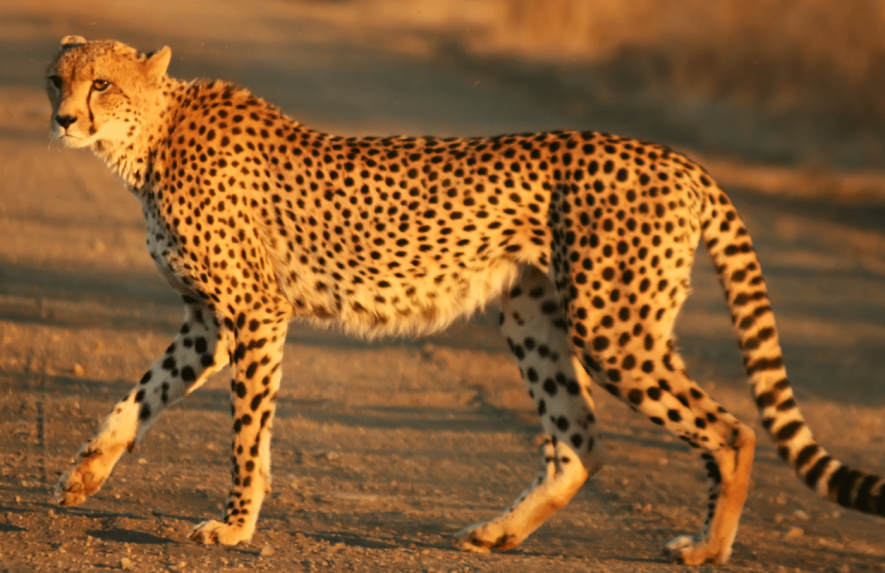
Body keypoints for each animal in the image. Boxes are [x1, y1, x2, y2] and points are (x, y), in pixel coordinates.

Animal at [45, 36, 885, 565]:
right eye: (59, 78)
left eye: (102, 84)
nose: (61, 119)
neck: (149, 137)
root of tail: (674, 156)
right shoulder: (207, 322)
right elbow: (140, 395)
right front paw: (84, 474)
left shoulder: (254, 312)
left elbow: (247, 432)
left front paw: (233, 526)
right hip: (534, 315)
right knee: (578, 441)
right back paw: (500, 533)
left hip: (613, 327)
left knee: (731, 430)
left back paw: (708, 547)